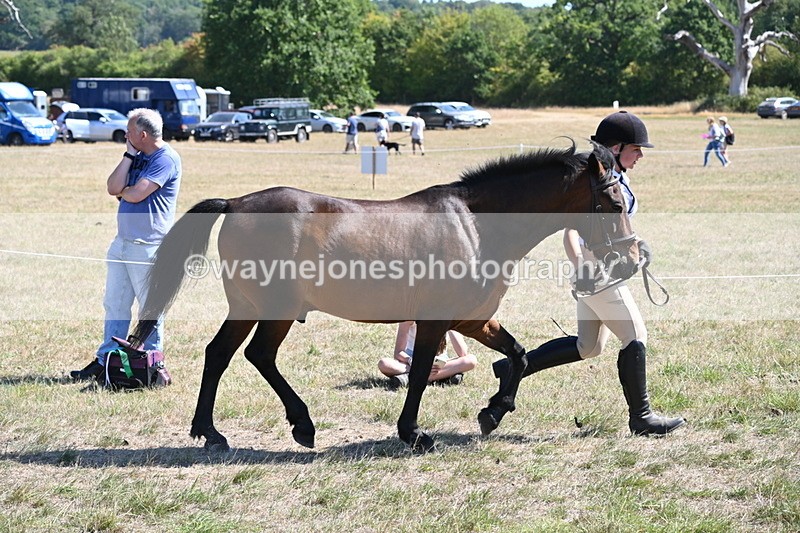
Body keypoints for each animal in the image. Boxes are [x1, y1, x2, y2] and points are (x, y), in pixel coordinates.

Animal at [131, 141, 639, 453]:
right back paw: (301, 425)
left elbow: (518, 355)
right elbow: (418, 376)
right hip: (274, 311)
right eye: (615, 204)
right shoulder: (435, 322)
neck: (476, 225)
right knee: (258, 355)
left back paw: (210, 432)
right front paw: (414, 434)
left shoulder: (471, 319)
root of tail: (237, 202)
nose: (631, 262)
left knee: (218, 353)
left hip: (247, 308)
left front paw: (493, 412)